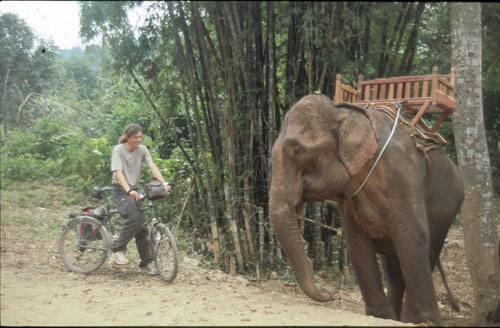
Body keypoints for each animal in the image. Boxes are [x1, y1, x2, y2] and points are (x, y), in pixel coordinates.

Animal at [270, 93, 464, 324]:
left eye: (297, 150)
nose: (330, 294)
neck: (344, 114)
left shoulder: (400, 172)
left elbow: (413, 236)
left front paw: (422, 321)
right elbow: (356, 245)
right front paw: (381, 316)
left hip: (447, 210)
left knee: (428, 252)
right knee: (393, 269)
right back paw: (395, 316)